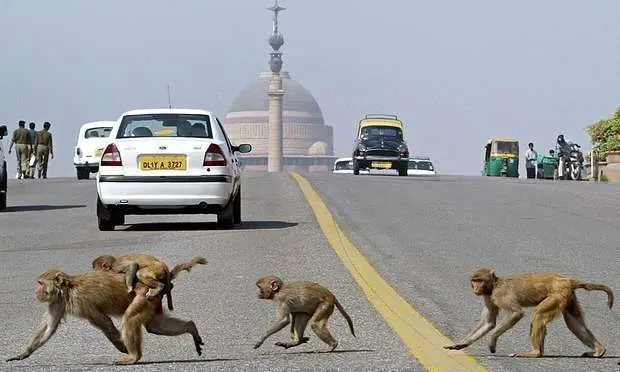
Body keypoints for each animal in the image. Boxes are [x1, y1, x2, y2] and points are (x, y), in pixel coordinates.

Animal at [6, 262, 206, 364]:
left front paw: (123, 347)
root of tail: (163, 280)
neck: (67, 289)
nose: (36, 291)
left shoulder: (82, 301)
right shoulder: (56, 302)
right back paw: (191, 327)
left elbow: (104, 322)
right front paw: (24, 353)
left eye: (40, 283)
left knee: (131, 318)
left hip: (145, 295)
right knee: (154, 326)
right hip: (153, 300)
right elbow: (49, 327)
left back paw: (134, 357)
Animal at [444, 268, 612, 358]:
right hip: (568, 297)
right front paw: (462, 343)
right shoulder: (488, 298)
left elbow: (516, 313)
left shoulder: (500, 295)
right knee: (574, 323)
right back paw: (599, 350)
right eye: (474, 280)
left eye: (480, 280)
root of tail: (567, 280)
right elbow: (489, 322)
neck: (493, 286)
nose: (475, 288)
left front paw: (492, 341)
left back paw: (535, 352)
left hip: (558, 294)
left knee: (538, 315)